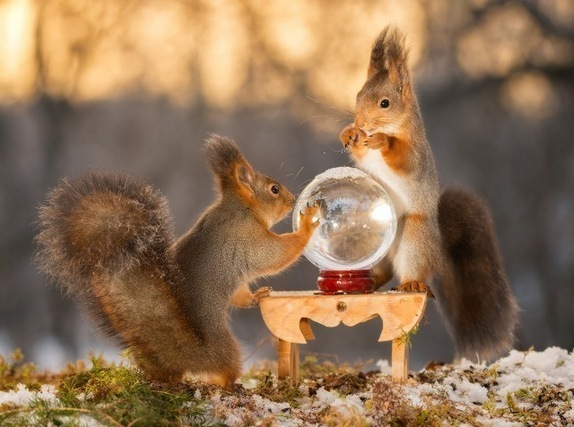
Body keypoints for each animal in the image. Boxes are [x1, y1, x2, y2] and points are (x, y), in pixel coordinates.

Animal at [36, 135, 322, 390]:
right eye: (274, 189)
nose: (292, 199)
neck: (244, 209)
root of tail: (183, 354)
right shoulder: (249, 240)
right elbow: (276, 254)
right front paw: (307, 225)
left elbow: (240, 294)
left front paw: (257, 295)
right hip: (226, 347)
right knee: (225, 371)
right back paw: (230, 385)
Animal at [340, 25, 520, 362]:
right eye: (357, 96)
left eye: (385, 103)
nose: (361, 123)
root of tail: (438, 243)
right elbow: (358, 153)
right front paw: (348, 133)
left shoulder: (416, 155)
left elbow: (402, 159)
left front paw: (382, 141)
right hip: (374, 246)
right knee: (385, 272)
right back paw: (369, 280)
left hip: (414, 238)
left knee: (415, 274)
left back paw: (411, 283)